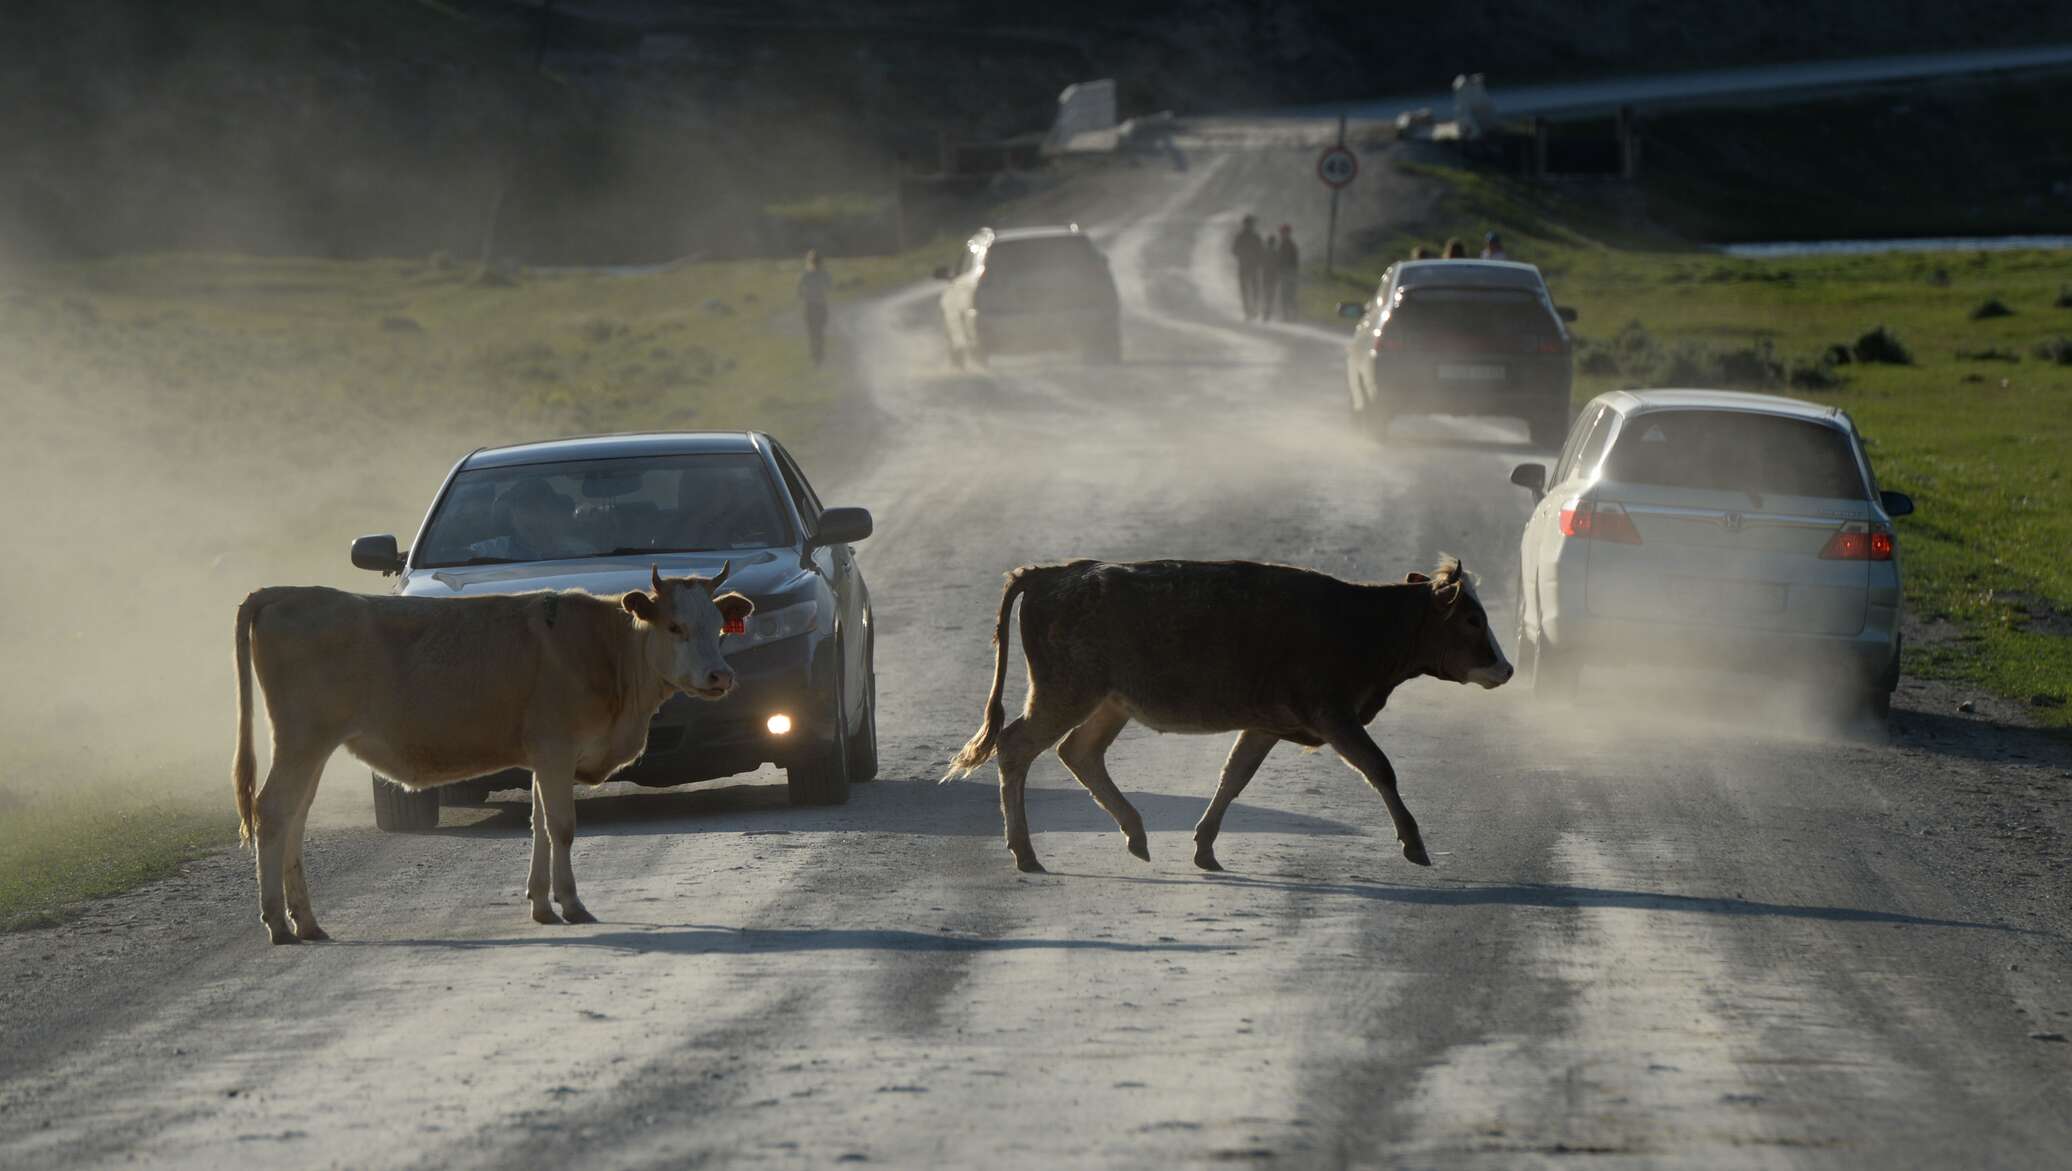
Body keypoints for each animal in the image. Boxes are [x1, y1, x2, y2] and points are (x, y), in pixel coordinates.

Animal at [231, 563, 750, 940]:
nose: (720, 675)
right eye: (676, 626)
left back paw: (306, 920)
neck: (604, 649)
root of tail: (285, 592)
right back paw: (278, 922)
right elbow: (562, 828)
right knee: (273, 812)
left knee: (294, 819)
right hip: (302, 740)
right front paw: (572, 903)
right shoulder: (557, 750)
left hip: (311, 747)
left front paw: (542, 903)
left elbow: (539, 826)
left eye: (719, 627)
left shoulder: (544, 757)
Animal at [948, 555, 1516, 866]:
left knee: (1079, 753)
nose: (1506, 668)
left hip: (1107, 702)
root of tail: (1052, 574)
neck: (1365, 621)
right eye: (1471, 619)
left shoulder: (1266, 724)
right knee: (1016, 747)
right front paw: (1414, 845)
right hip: (1065, 693)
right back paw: (1026, 853)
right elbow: (1380, 768)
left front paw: (1204, 846)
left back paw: (1134, 833)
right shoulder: (1334, 715)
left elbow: (1234, 777)